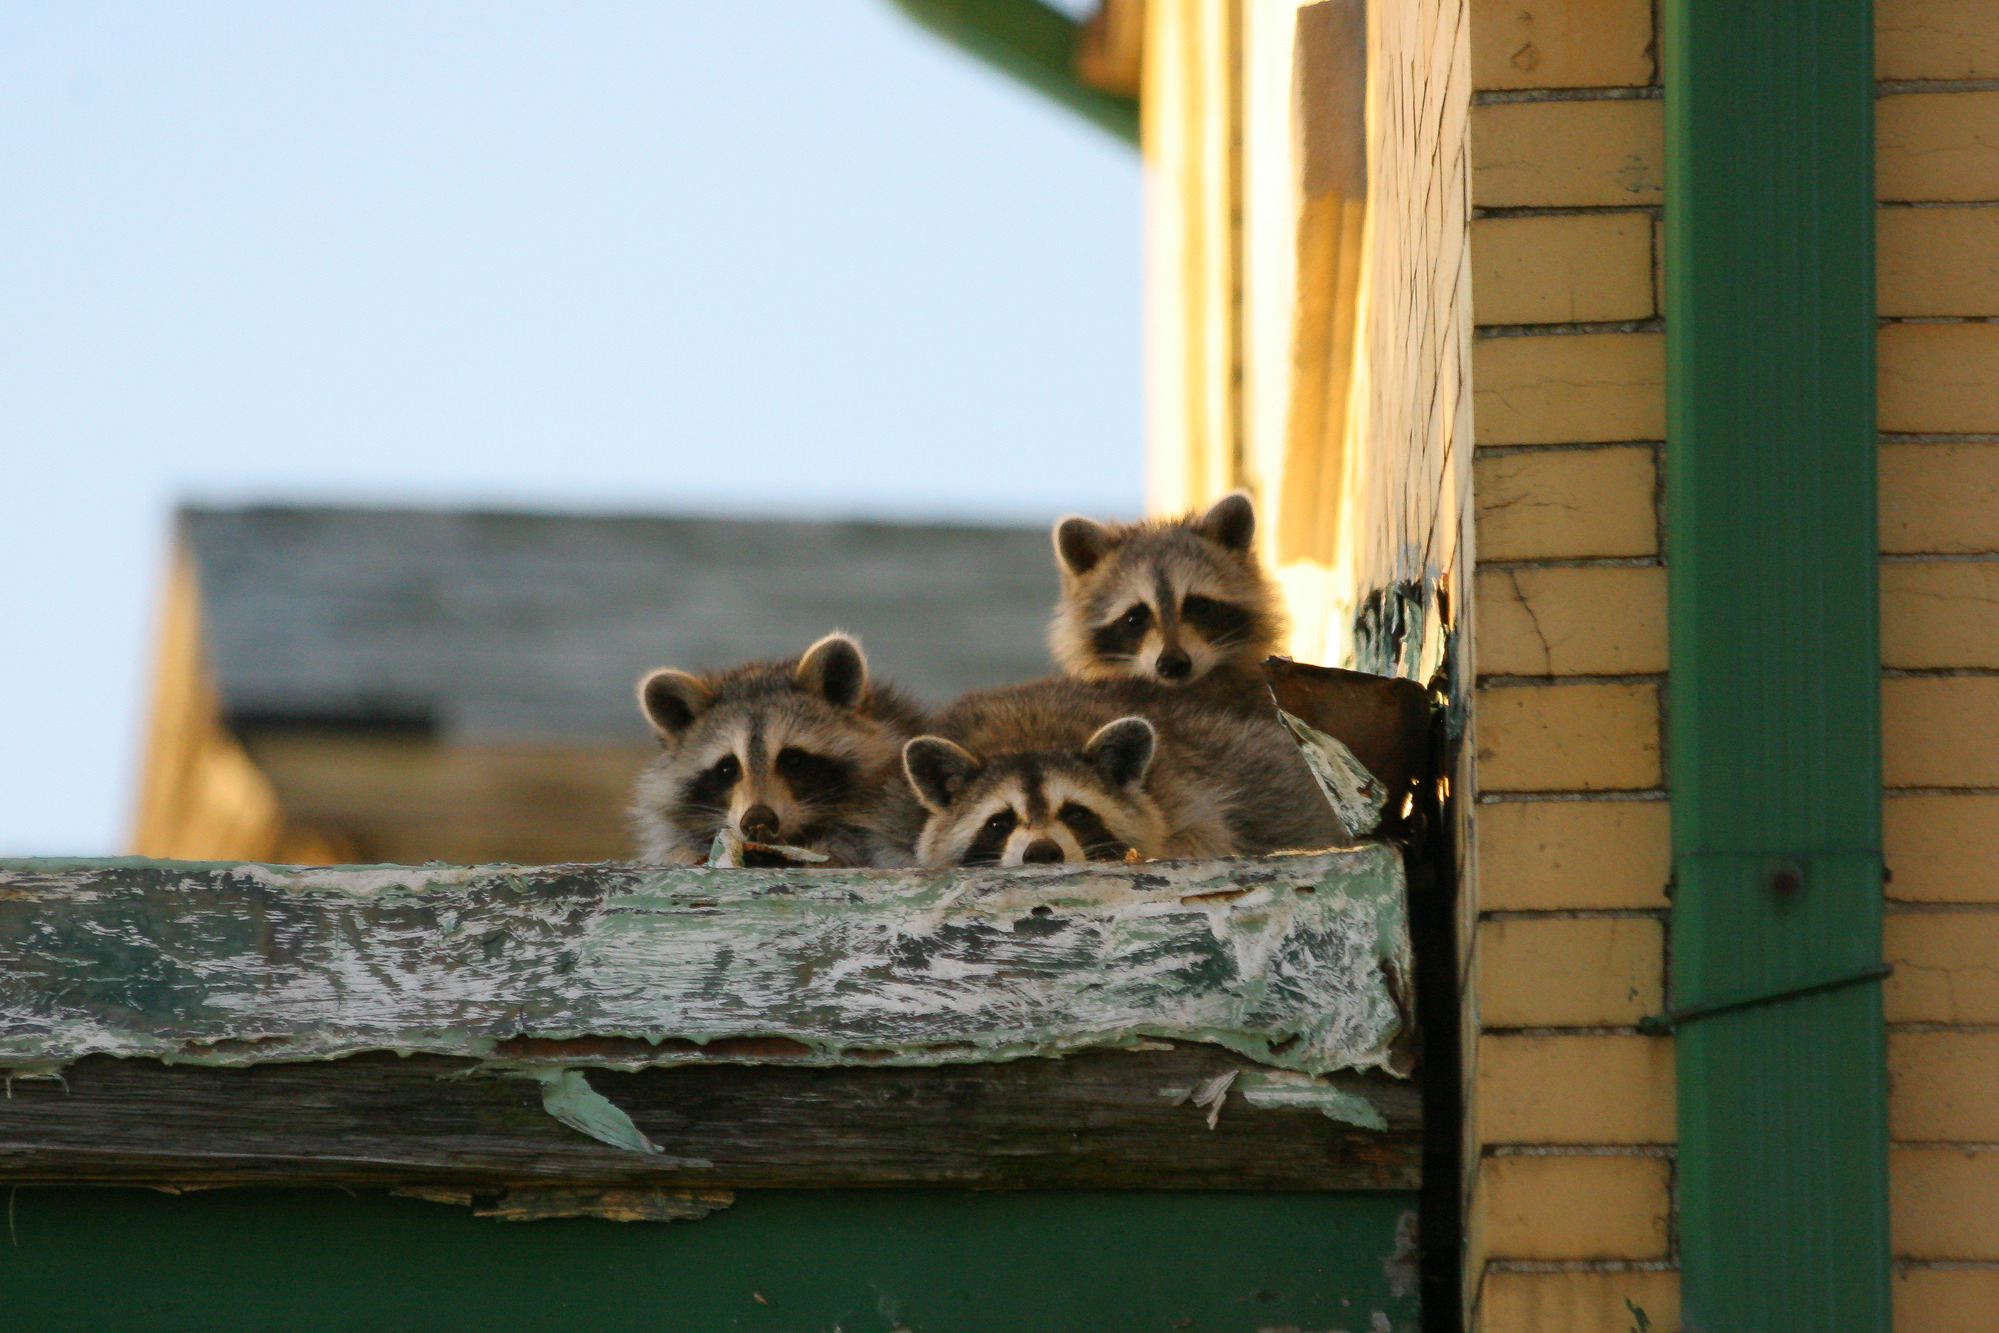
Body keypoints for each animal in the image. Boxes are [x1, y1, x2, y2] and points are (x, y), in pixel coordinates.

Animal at [901, 677, 1346, 868]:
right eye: (999, 823)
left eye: (1076, 813)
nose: (1043, 853)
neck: (1028, 737)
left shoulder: (1176, 790)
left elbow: (1204, 833)